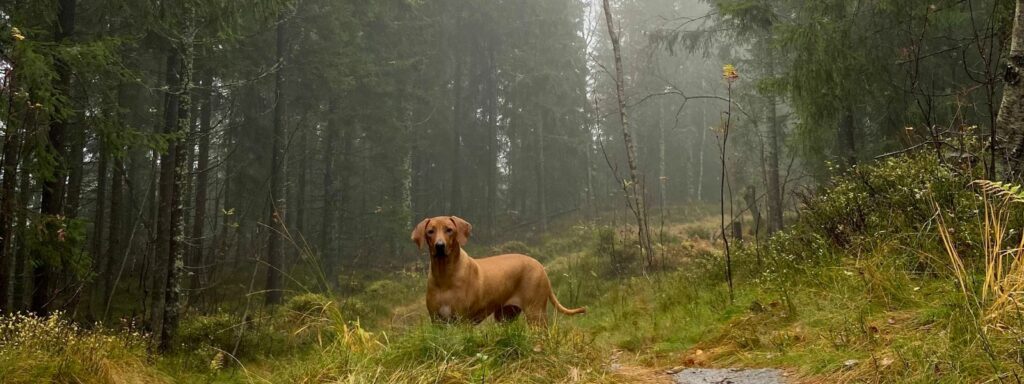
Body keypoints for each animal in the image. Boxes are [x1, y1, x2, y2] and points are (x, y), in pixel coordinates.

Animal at [407, 215, 585, 325]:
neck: (445, 275)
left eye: (449, 229)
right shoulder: (437, 321)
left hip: (535, 313)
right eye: (430, 231)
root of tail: (539, 264)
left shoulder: (463, 320)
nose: (439, 246)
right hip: (505, 316)